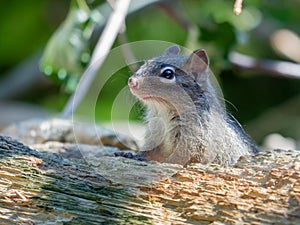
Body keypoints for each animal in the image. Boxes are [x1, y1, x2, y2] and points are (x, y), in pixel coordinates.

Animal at [116, 45, 258, 165]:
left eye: (168, 74)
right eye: (146, 63)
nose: (131, 81)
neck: (163, 113)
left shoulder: (194, 141)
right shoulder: (156, 135)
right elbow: (151, 151)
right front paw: (133, 155)